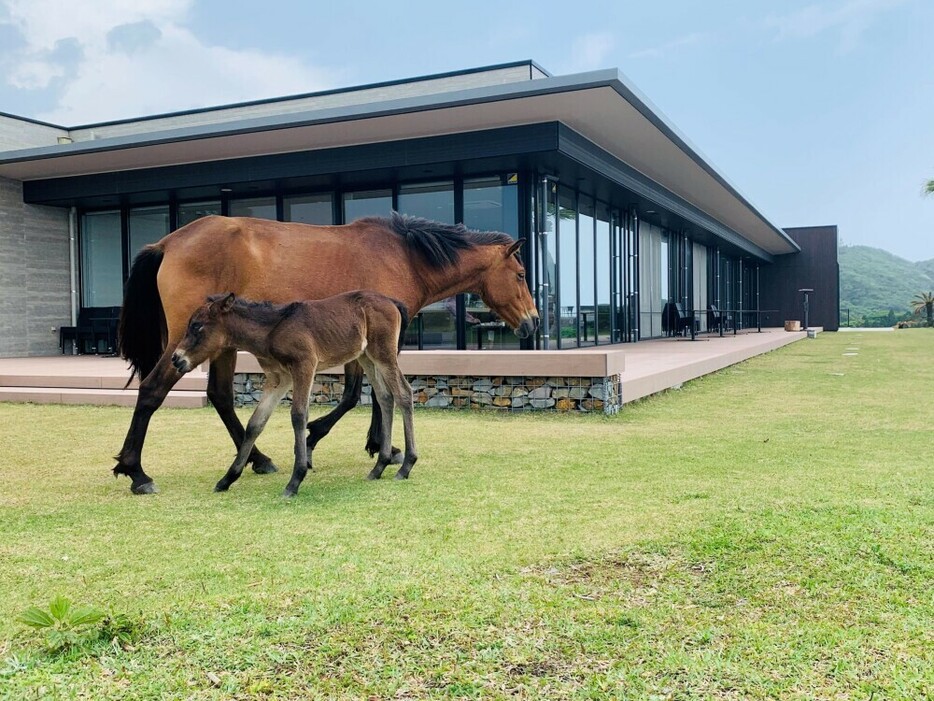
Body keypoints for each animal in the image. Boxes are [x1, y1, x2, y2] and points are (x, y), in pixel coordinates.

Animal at [115, 212, 540, 492]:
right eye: (521, 275)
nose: (533, 322)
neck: (403, 256)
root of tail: (166, 243)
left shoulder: (360, 345)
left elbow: (369, 395)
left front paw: (377, 447)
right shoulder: (372, 344)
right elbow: (359, 395)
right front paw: (350, 443)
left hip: (221, 345)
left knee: (220, 395)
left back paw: (257, 460)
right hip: (187, 345)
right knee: (152, 390)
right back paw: (137, 472)